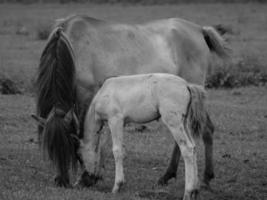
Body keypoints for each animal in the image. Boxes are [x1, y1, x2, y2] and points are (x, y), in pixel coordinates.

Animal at [77, 73, 207, 200]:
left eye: (80, 158)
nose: (81, 183)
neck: (103, 93)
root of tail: (187, 85)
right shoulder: (116, 123)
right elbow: (105, 149)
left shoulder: (115, 120)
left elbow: (117, 151)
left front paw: (117, 186)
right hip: (184, 123)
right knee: (193, 147)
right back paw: (195, 190)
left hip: (173, 122)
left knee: (187, 149)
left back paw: (188, 192)